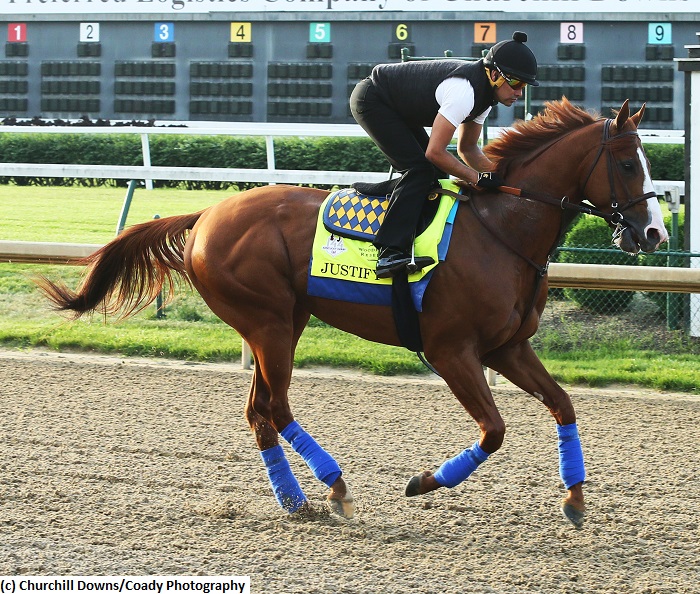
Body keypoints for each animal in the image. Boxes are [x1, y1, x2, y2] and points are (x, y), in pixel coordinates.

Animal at [37, 98, 668, 528]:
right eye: (626, 163)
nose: (654, 235)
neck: (501, 231)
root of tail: (208, 214)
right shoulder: (451, 350)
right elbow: (493, 430)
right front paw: (423, 481)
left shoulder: (507, 347)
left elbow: (562, 404)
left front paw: (575, 498)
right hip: (268, 324)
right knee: (277, 406)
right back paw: (333, 485)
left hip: (281, 323)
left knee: (259, 412)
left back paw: (295, 499)